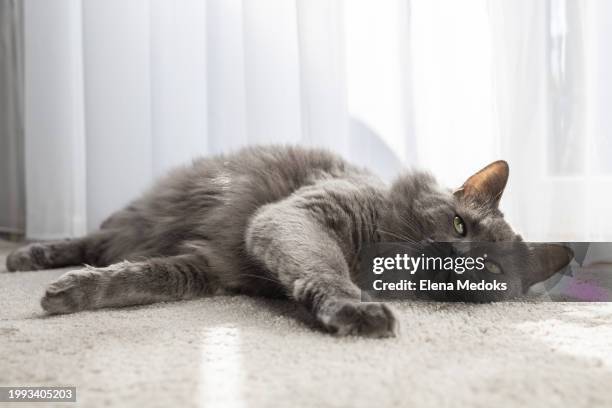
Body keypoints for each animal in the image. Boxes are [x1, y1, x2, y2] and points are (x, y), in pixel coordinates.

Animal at [4, 145, 572, 336]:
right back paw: (27, 256)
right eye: (459, 227)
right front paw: (354, 309)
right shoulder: (296, 215)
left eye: (490, 270)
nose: (456, 257)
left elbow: (140, 280)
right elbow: (326, 272)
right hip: (138, 220)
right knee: (90, 239)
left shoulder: (211, 266)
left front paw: (71, 294)